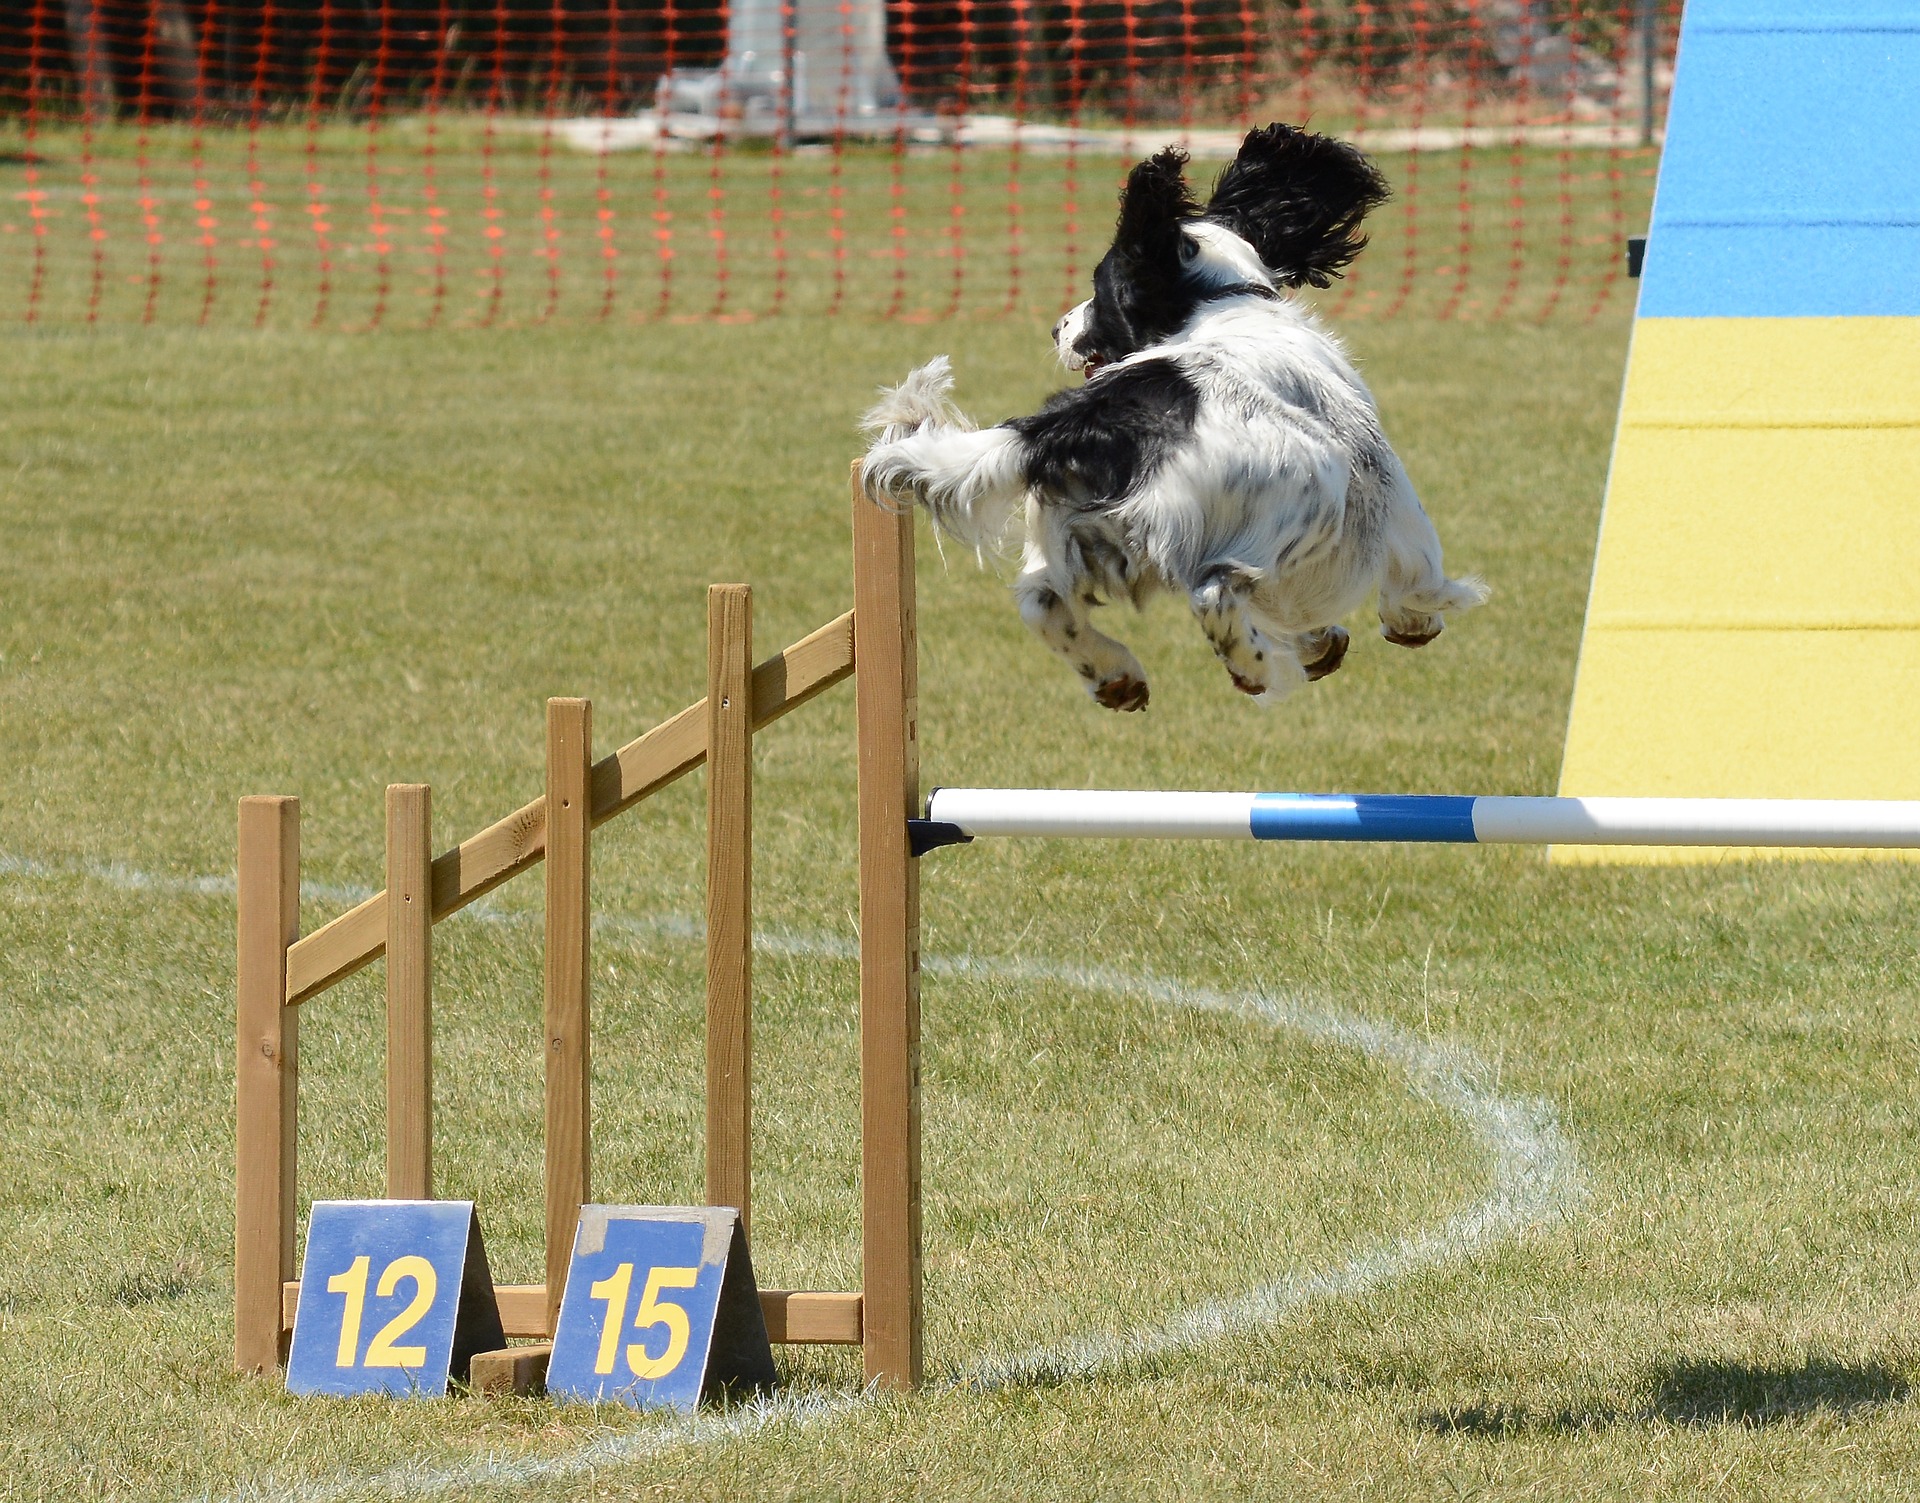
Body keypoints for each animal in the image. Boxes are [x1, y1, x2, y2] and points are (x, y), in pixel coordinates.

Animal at [860, 123, 1482, 710]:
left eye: (1098, 289)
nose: (1057, 328)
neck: (1219, 303)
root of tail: (1096, 421)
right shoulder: (1383, 483)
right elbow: (1415, 568)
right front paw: (1414, 619)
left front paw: (1318, 640)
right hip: (1304, 492)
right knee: (1215, 591)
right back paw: (1256, 669)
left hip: (1071, 530)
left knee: (1041, 602)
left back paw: (1118, 676)